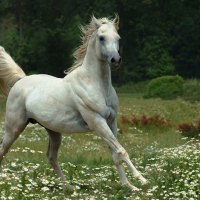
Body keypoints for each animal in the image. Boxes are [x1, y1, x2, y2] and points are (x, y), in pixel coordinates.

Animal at [0, 16, 147, 192]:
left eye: (118, 38)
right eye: (101, 37)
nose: (116, 60)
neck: (95, 84)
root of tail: (21, 80)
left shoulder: (111, 122)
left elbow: (115, 153)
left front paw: (129, 186)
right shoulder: (97, 122)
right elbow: (121, 151)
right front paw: (141, 179)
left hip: (53, 131)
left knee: (51, 156)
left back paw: (69, 187)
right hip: (14, 127)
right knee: (3, 149)